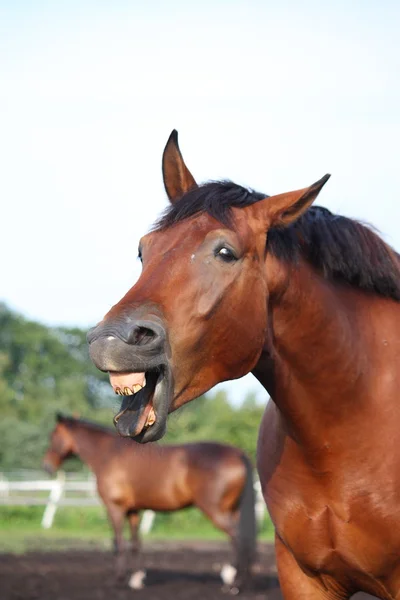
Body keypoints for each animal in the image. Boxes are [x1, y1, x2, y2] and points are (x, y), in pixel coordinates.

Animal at [42, 414, 256, 588]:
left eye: (53, 436)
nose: (47, 466)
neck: (109, 454)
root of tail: (238, 453)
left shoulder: (115, 508)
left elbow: (118, 543)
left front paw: (118, 580)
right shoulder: (133, 511)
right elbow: (135, 542)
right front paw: (136, 579)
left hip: (215, 511)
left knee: (238, 538)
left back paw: (234, 583)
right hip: (232, 510)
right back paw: (236, 578)